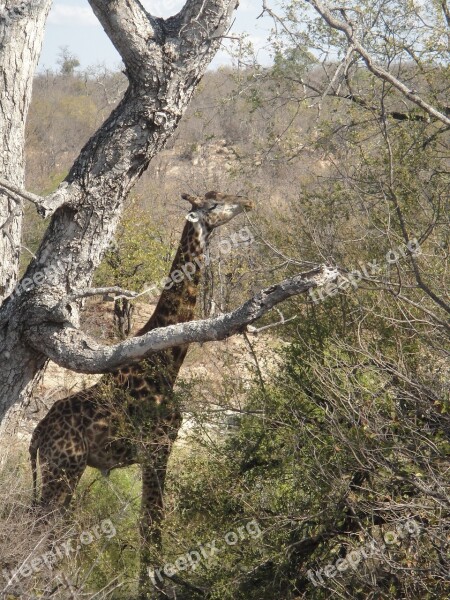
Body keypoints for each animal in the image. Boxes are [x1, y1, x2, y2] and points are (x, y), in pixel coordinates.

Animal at [28, 189, 253, 596]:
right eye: (213, 204)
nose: (247, 202)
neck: (169, 359)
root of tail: (37, 435)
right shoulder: (158, 445)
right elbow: (152, 523)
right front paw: (153, 591)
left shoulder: (156, 449)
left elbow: (150, 523)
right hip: (65, 467)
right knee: (45, 525)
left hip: (59, 469)